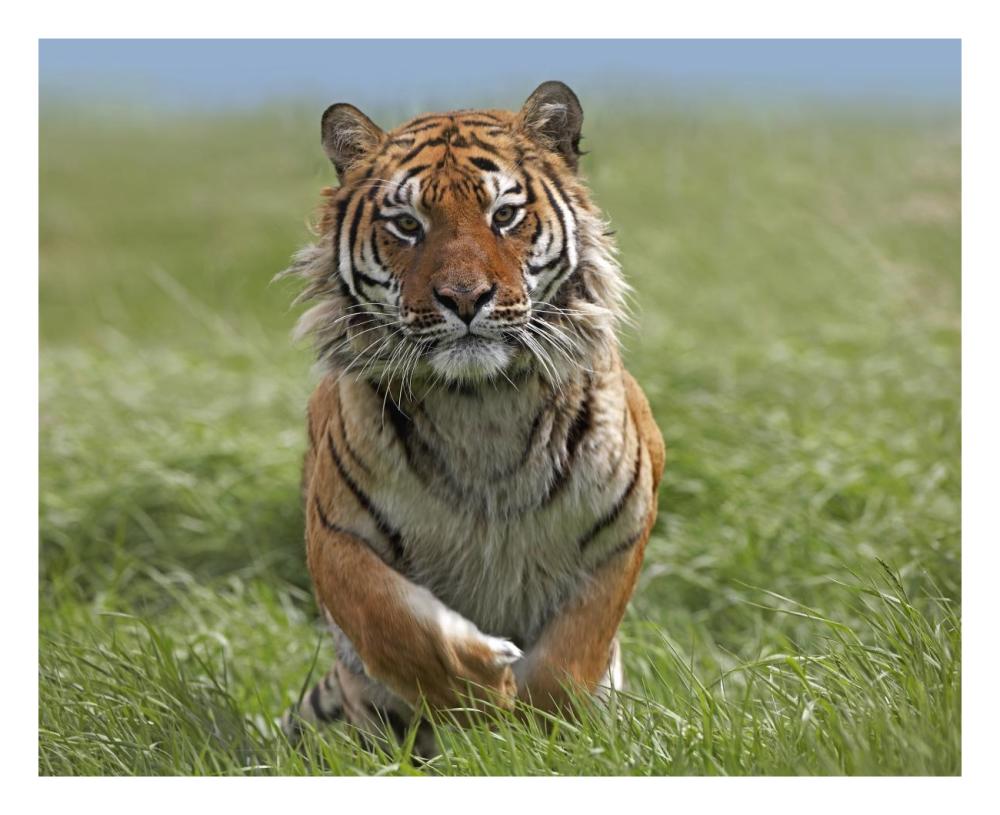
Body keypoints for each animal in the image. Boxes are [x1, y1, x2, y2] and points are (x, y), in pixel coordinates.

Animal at [278, 81, 665, 756]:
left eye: (503, 215)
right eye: (408, 225)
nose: (464, 298)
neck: (482, 407)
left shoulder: (625, 523)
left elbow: (572, 656)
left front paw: (542, 733)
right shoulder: (334, 533)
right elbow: (395, 626)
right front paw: (484, 695)